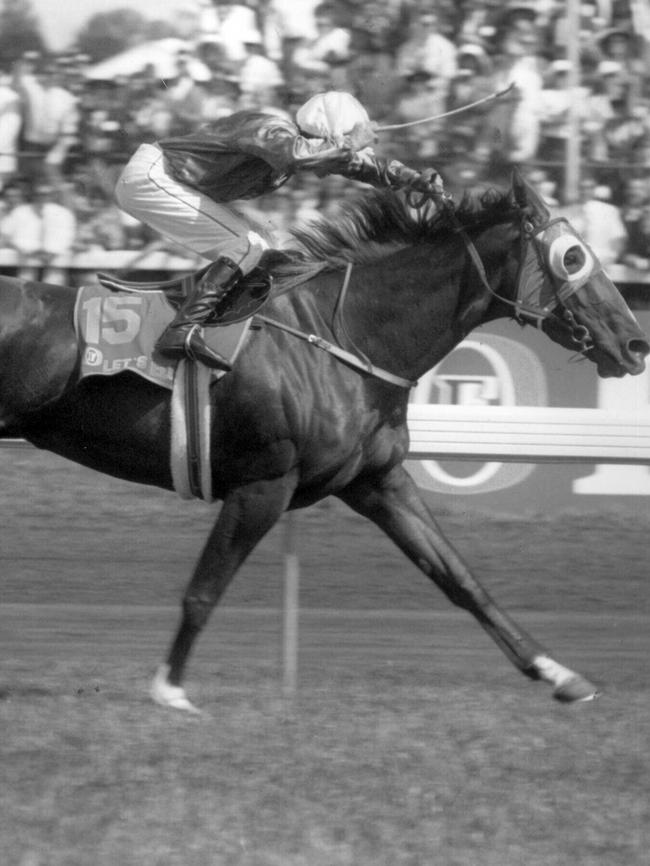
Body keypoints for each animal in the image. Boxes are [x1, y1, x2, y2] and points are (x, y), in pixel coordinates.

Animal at [2, 170, 644, 708]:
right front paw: (169, 689)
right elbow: (204, 588)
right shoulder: (264, 484)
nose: (636, 344)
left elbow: (461, 579)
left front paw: (560, 674)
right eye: (573, 256)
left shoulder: (377, 481)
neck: (343, 335)